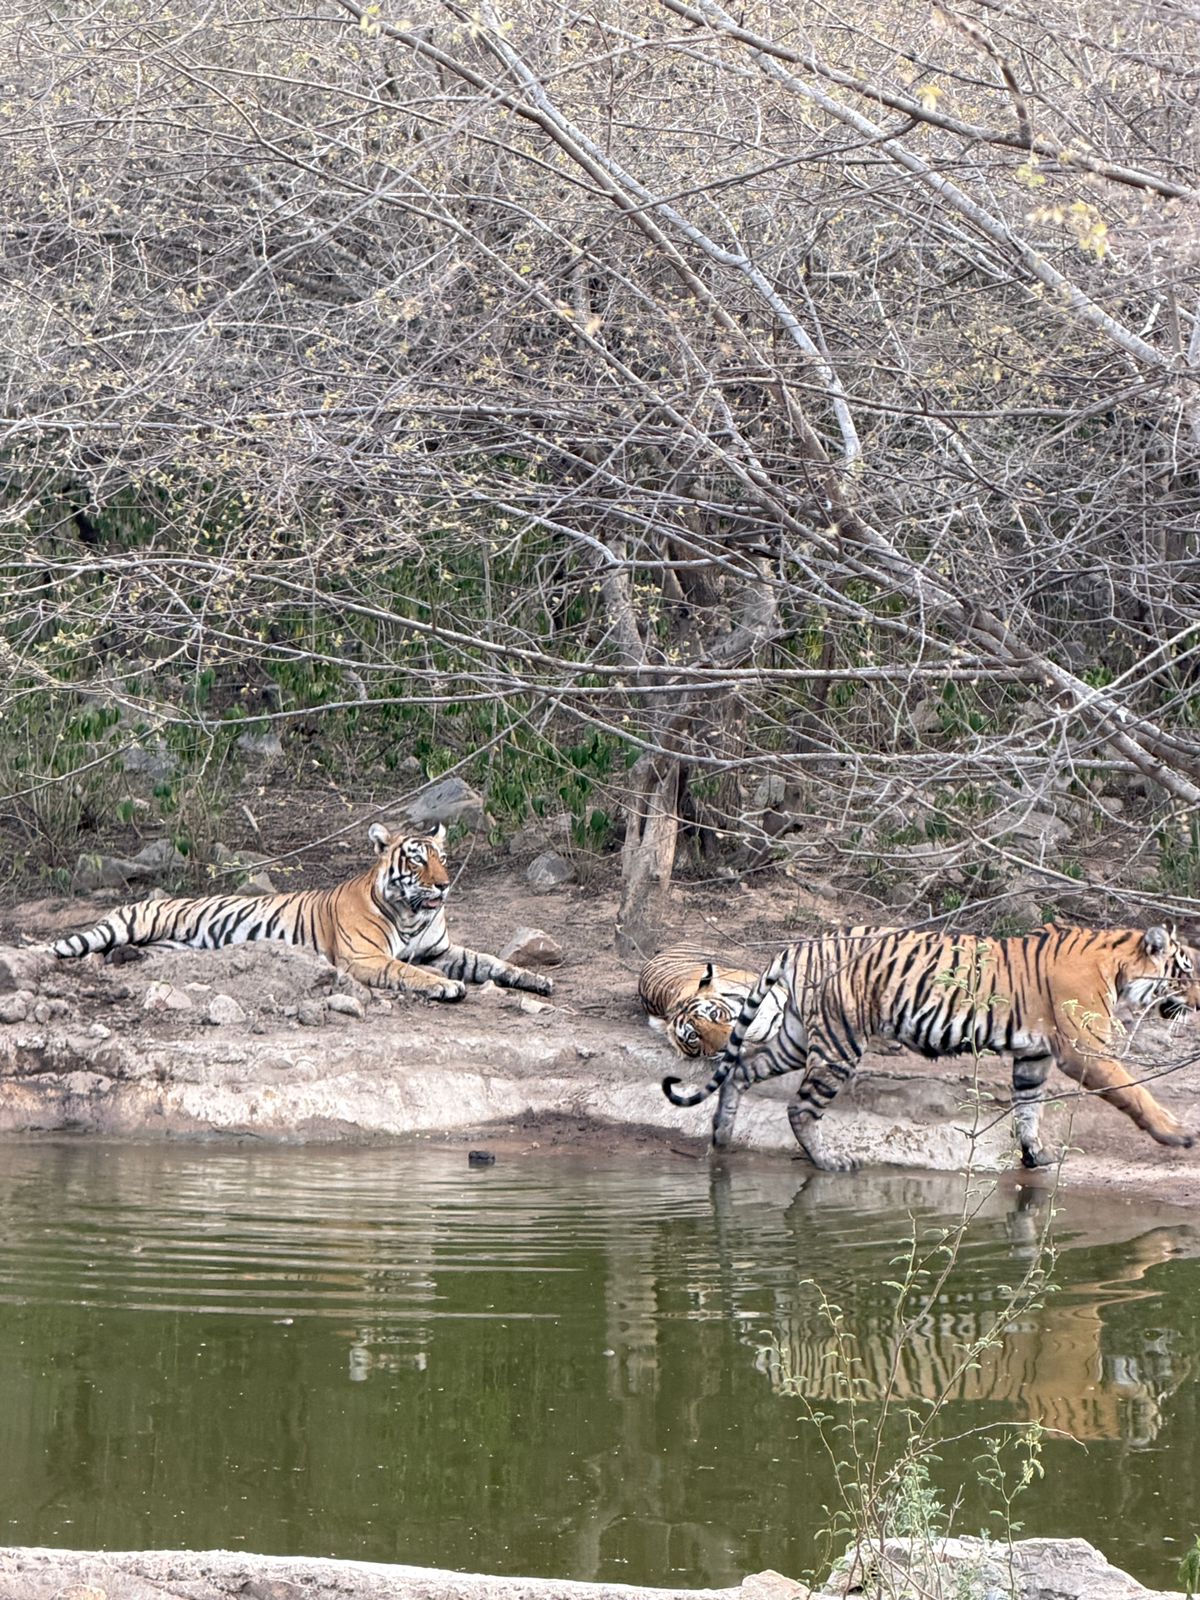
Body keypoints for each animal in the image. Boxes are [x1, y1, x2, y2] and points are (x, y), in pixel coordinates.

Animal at [48, 822, 553, 1002]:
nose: (445, 884)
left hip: (167, 946)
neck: (412, 913)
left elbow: (490, 961)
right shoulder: (366, 958)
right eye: (415, 860)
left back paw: (127, 960)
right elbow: (407, 971)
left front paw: (536, 979)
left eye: (442, 858)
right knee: (72, 946)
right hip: (127, 924)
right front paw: (445, 987)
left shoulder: (440, 950)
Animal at [662, 924, 1197, 1172]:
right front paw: (1177, 1134)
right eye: (1186, 971)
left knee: (741, 1071)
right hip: (838, 1044)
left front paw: (1036, 1155)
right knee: (800, 1107)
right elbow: (1137, 1094)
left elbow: (1029, 1107)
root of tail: (799, 946)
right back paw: (830, 1162)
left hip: (799, 1036)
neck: (1120, 969)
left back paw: (722, 1135)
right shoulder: (1085, 1051)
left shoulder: (1034, 1056)